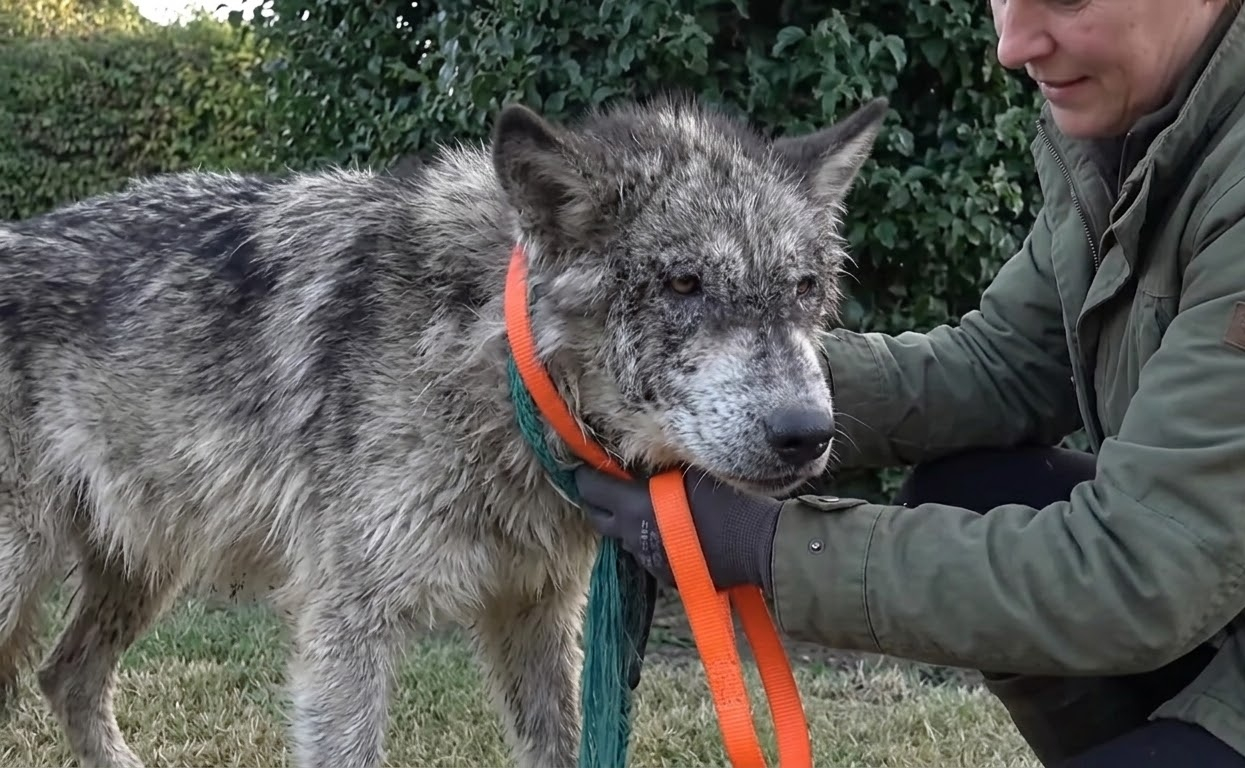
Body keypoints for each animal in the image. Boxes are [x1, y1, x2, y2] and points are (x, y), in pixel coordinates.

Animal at [0, 91, 887, 768]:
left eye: (804, 288)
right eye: (683, 283)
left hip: (144, 567)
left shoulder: (535, 615)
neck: (490, 363)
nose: (806, 433)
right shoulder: (348, 628)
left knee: (65, 677)